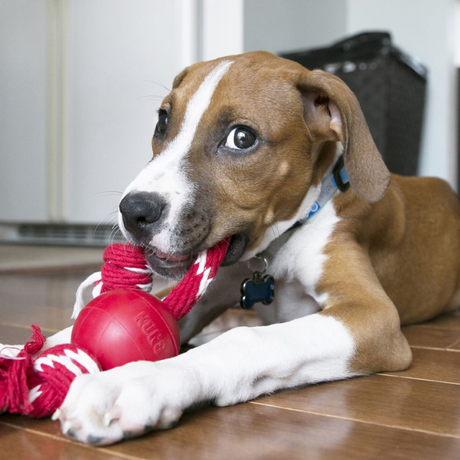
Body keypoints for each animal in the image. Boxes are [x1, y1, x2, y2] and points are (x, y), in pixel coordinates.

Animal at [5, 52, 460, 444]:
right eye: (163, 121)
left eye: (242, 137)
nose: (133, 211)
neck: (275, 250)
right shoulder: (214, 287)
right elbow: (162, 310)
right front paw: (38, 350)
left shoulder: (374, 316)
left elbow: (248, 340)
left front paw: (133, 381)